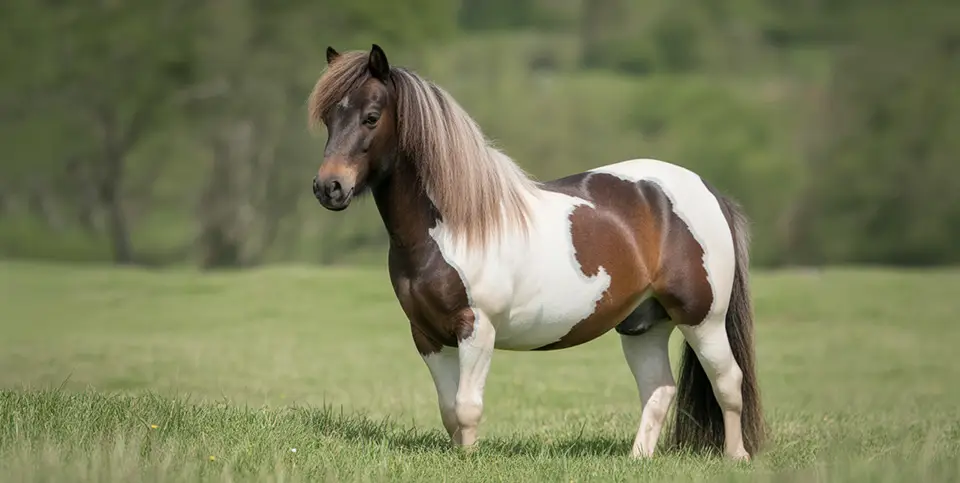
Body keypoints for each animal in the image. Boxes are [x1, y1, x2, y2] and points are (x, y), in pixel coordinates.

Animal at [308, 44, 766, 460]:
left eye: (371, 117)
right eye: (329, 118)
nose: (329, 187)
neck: (454, 227)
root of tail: (706, 190)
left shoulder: (477, 328)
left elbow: (467, 407)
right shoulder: (427, 335)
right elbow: (448, 410)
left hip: (703, 319)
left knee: (729, 383)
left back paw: (736, 457)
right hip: (643, 325)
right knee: (658, 389)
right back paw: (638, 459)